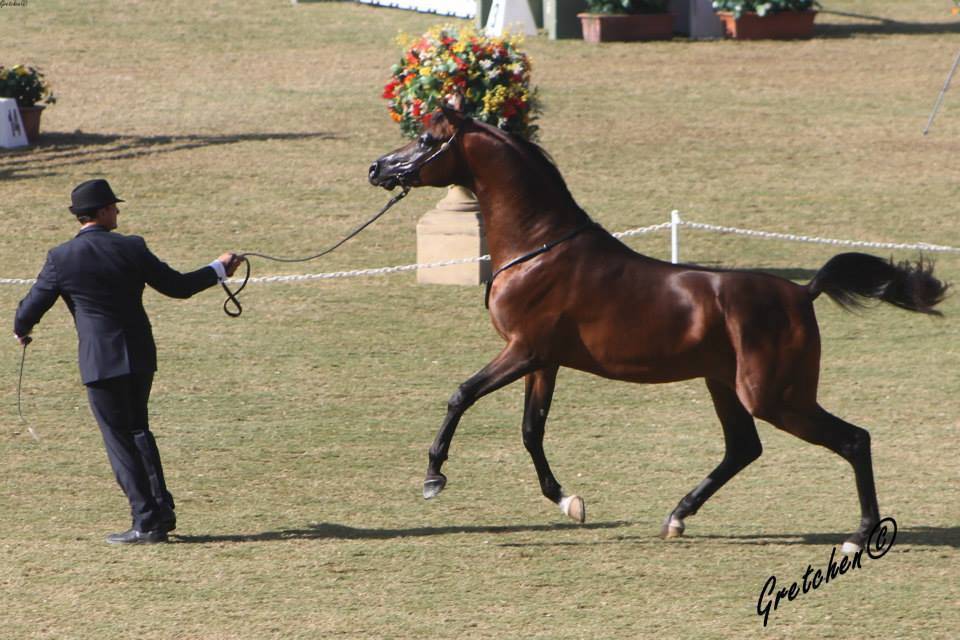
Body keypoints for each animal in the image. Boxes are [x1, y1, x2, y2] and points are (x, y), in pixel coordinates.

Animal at [368, 105, 948, 553]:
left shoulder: (523, 351)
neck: (540, 247)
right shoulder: (543, 361)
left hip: (774, 395)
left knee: (853, 440)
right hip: (725, 385)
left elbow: (461, 395)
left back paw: (859, 535)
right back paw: (677, 517)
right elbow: (532, 431)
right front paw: (569, 502)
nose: (377, 168)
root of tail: (802, 293)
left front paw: (434, 478)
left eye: (426, 139)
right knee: (744, 449)